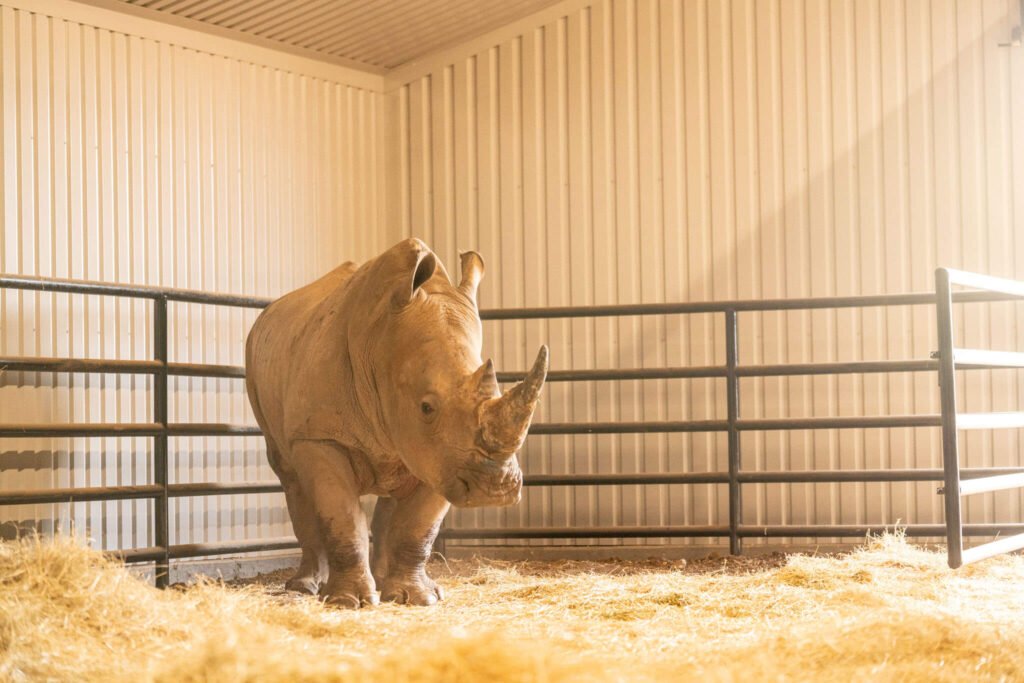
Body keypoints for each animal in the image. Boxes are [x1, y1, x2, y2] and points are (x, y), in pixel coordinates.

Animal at [245, 238, 548, 608]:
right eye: (427, 407)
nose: (495, 490)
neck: (380, 346)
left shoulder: (442, 455)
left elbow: (417, 528)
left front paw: (418, 598)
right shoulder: (320, 435)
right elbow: (342, 516)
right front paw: (347, 601)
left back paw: (383, 583)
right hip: (258, 364)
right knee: (291, 478)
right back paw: (305, 587)